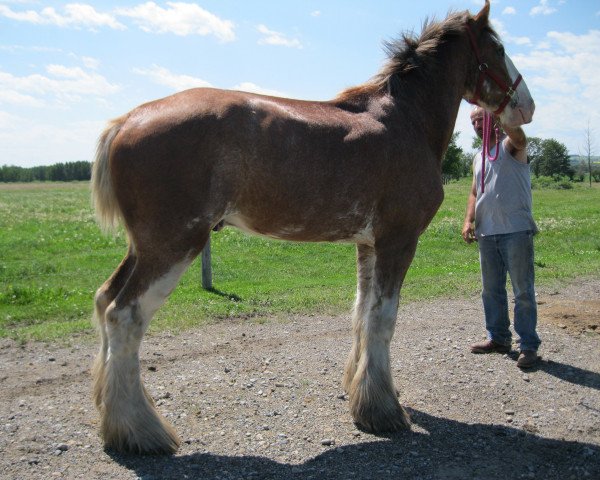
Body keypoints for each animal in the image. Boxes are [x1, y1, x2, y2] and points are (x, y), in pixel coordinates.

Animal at [90, 0, 536, 454]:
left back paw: (114, 420)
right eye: (499, 48)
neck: (405, 121)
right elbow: (383, 318)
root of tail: (128, 119)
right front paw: (384, 411)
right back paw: (141, 430)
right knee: (124, 315)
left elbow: (362, 313)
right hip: (173, 246)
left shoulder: (369, 244)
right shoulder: (398, 241)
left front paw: (362, 395)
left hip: (144, 247)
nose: (528, 107)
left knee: (103, 299)